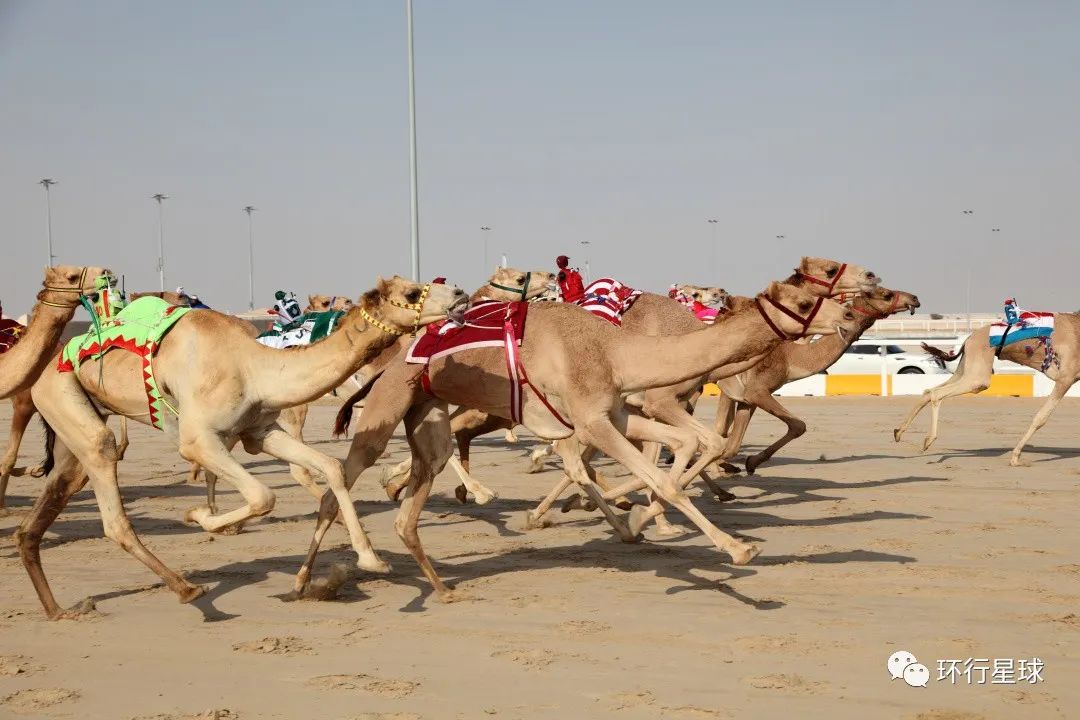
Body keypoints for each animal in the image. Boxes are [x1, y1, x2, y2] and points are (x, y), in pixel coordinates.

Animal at [15, 278, 464, 621]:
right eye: (411, 292)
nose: (459, 293)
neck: (255, 366)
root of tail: (48, 364)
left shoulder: (259, 430)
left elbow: (331, 468)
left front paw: (371, 559)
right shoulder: (198, 439)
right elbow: (262, 496)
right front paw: (200, 517)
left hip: (75, 424)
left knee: (49, 504)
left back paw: (59, 610)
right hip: (61, 396)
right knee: (111, 501)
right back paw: (189, 590)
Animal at [306, 280, 859, 604]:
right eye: (805, 301)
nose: (849, 317)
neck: (615, 351)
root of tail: (388, 355)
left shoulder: (618, 413)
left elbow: (683, 444)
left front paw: (635, 520)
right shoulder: (592, 422)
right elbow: (664, 477)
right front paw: (737, 549)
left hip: (429, 416)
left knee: (412, 501)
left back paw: (439, 585)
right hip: (388, 406)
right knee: (344, 481)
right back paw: (318, 578)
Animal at [894, 317, 1080, 468]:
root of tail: (968, 339)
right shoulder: (1066, 378)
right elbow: (1041, 417)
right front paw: (1015, 458)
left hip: (965, 368)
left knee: (929, 390)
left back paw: (898, 432)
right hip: (978, 373)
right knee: (937, 393)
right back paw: (927, 441)